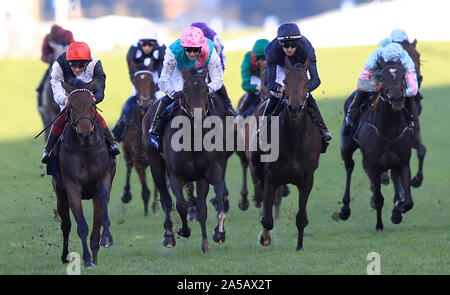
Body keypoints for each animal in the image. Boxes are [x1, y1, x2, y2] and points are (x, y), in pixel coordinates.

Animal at [51, 80, 116, 268]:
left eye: (92, 105)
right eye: (70, 106)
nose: (86, 132)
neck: (86, 148)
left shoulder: (104, 178)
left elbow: (103, 201)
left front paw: (106, 238)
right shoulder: (72, 186)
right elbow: (81, 226)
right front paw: (86, 259)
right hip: (60, 194)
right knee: (66, 225)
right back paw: (67, 257)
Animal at [118, 60, 159, 217]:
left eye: (152, 81)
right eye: (135, 82)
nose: (145, 100)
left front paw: (155, 206)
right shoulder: (138, 160)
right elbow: (145, 189)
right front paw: (147, 211)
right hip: (127, 153)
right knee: (128, 167)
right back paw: (126, 195)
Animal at [253, 57, 324, 252]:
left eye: (306, 83)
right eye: (285, 82)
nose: (293, 108)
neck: (294, 141)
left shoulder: (307, 179)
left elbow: (301, 218)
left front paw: (299, 246)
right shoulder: (270, 176)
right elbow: (267, 220)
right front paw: (264, 237)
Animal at [340, 60, 416, 231]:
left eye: (403, 76)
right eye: (383, 77)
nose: (396, 98)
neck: (389, 131)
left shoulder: (403, 162)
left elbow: (408, 202)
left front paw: (398, 209)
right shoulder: (374, 166)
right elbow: (379, 198)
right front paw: (379, 225)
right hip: (346, 147)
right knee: (349, 166)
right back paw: (345, 209)